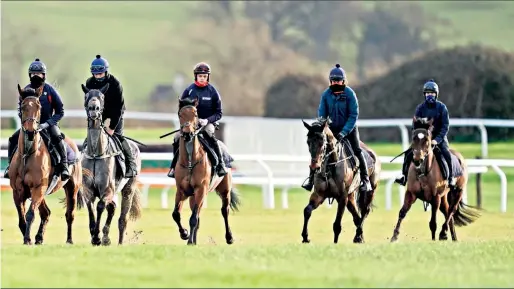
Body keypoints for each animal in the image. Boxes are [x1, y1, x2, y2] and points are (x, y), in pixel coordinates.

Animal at [8, 84, 82, 244]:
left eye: (38, 106)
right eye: (23, 106)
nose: (31, 131)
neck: (28, 153)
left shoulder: (38, 188)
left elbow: (30, 214)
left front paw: (27, 239)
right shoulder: (18, 191)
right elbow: (21, 218)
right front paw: (28, 238)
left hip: (71, 188)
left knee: (70, 215)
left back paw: (69, 240)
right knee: (46, 213)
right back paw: (39, 237)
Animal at [80, 83, 141, 245]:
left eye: (102, 96)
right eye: (86, 95)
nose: (94, 109)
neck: (96, 153)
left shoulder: (107, 190)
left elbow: (100, 206)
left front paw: (96, 236)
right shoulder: (87, 190)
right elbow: (91, 207)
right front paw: (94, 233)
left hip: (128, 188)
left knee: (122, 219)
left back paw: (118, 241)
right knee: (112, 208)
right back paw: (106, 238)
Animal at [169, 97, 239, 245]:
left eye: (195, 114)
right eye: (180, 114)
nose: (188, 133)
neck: (190, 161)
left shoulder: (201, 189)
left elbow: (193, 218)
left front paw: (189, 239)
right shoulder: (182, 190)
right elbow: (176, 214)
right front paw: (185, 234)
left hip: (224, 190)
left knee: (224, 211)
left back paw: (229, 237)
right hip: (193, 196)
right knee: (197, 215)